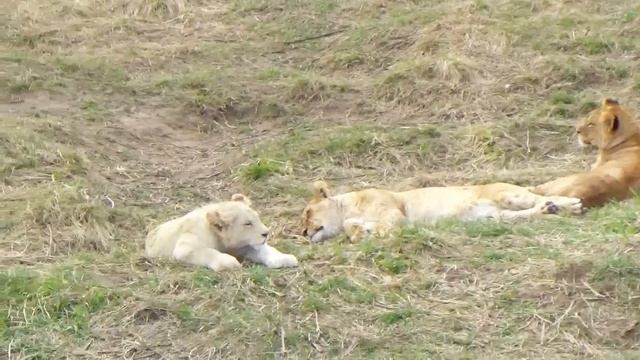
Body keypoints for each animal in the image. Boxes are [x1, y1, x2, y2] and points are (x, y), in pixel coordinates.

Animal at [145, 194, 298, 270]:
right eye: (248, 223)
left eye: (257, 218)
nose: (266, 233)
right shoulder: (186, 246)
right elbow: (207, 252)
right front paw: (230, 263)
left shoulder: (243, 246)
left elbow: (265, 250)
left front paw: (286, 259)